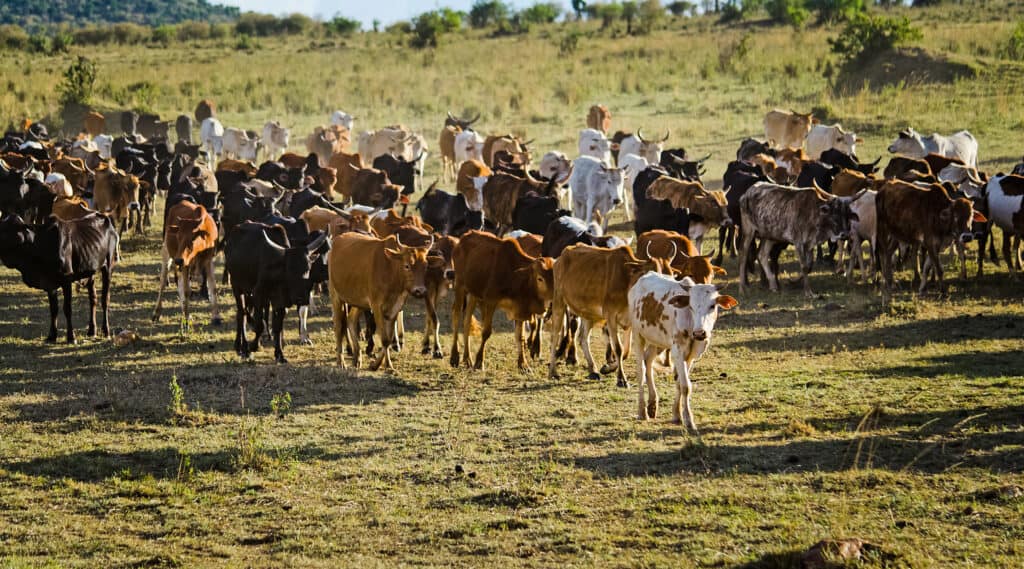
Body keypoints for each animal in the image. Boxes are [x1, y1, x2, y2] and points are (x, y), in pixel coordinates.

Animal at [0, 212, 118, 341]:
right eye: (2, 228)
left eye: (10, 230)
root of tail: (104, 217)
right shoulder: (49, 283)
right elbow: (53, 309)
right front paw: (51, 336)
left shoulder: (66, 280)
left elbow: (67, 309)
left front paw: (71, 337)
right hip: (89, 271)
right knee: (93, 299)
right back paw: (92, 331)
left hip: (108, 267)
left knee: (105, 300)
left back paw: (106, 331)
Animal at [227, 220, 327, 362]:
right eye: (289, 270)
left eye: (308, 268)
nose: (301, 298)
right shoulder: (259, 295)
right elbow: (260, 324)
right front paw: (254, 346)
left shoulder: (280, 301)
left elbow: (277, 327)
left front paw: (279, 354)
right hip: (237, 287)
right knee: (242, 314)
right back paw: (244, 347)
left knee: (242, 313)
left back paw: (239, 345)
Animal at [450, 231, 552, 372]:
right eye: (540, 278)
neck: (515, 275)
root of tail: (463, 238)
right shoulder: (491, 302)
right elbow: (486, 332)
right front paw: (479, 362)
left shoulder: (519, 308)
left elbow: (520, 337)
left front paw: (523, 364)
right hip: (460, 286)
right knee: (456, 317)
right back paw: (455, 357)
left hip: (473, 294)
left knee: (466, 322)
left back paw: (467, 359)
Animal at [548, 242, 675, 384]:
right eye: (651, 274)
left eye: (670, 276)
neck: (628, 281)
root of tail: (561, 256)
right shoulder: (611, 317)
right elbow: (618, 349)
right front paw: (621, 379)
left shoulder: (631, 321)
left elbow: (626, 351)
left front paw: (607, 368)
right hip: (559, 301)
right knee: (555, 336)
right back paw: (553, 372)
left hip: (588, 313)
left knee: (583, 338)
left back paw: (593, 370)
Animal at [622, 272, 737, 431]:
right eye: (691, 306)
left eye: (712, 306)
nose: (700, 333)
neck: (690, 324)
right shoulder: (678, 352)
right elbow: (685, 386)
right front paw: (689, 420)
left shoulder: (691, 356)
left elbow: (679, 383)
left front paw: (677, 415)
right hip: (638, 335)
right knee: (641, 370)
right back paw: (642, 411)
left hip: (658, 341)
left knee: (648, 360)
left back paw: (652, 404)